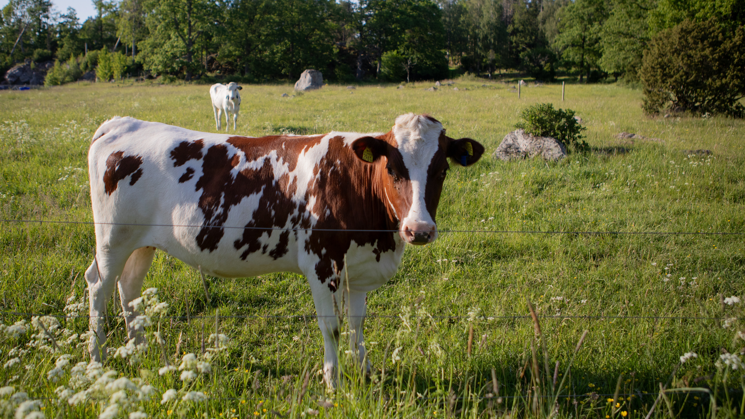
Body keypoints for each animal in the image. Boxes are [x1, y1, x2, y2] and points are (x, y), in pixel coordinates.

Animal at [85, 113, 484, 385]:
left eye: (441, 171)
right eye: (393, 170)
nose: (419, 230)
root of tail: (122, 123)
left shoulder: (358, 269)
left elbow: (356, 326)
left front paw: (365, 373)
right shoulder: (321, 263)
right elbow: (331, 327)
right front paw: (334, 382)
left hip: (142, 243)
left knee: (129, 288)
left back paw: (139, 352)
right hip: (112, 238)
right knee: (99, 286)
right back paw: (97, 360)